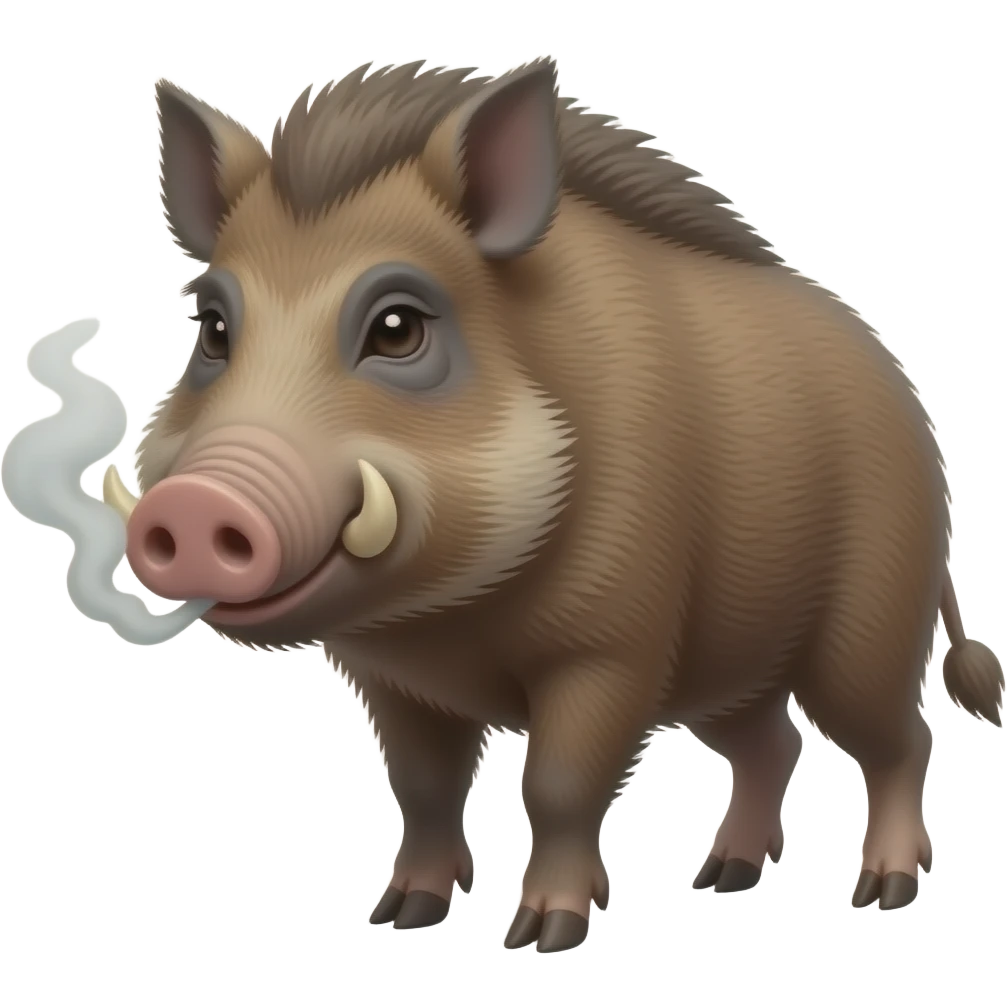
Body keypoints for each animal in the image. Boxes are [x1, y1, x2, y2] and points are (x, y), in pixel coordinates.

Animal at [118, 58, 1005, 952]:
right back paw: (721, 878)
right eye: (213, 328)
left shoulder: (613, 646)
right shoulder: (391, 677)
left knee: (898, 739)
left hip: (867, 628)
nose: (190, 503)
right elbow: (422, 785)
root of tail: (913, 408)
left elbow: (557, 784)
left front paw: (544, 934)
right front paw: (401, 916)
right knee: (773, 743)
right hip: (727, 665)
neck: (449, 622)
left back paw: (883, 890)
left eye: (397, 327)